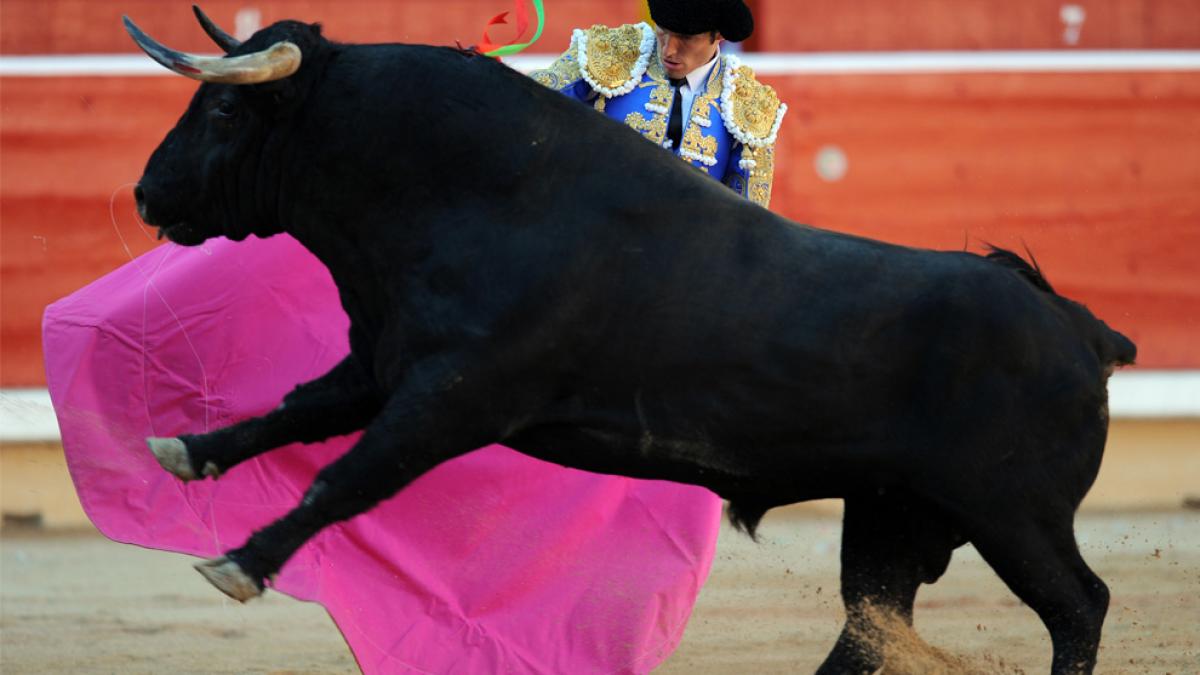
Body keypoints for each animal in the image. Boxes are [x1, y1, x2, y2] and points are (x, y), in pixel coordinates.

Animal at [126, 9, 1135, 674]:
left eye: (224, 112)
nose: (144, 192)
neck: (463, 186)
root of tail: (1080, 329)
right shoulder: (385, 367)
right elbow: (290, 413)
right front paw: (184, 449)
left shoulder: (453, 396)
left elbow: (348, 474)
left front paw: (239, 562)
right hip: (894, 512)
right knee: (872, 624)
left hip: (1014, 516)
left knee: (1079, 605)